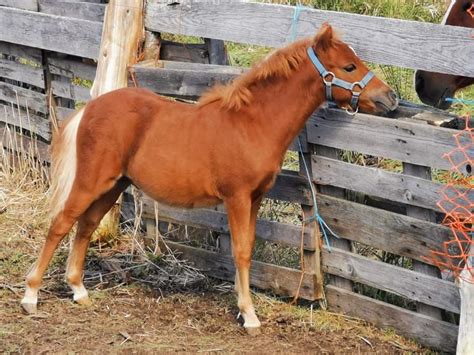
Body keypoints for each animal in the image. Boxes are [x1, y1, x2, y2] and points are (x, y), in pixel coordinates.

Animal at [21, 23, 396, 336]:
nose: (390, 98)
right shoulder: (237, 197)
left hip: (113, 186)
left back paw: (78, 290)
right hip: (91, 182)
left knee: (85, 227)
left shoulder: (255, 198)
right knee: (60, 224)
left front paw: (245, 310)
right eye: (349, 67)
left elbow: (247, 249)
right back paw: (31, 295)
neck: (252, 124)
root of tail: (89, 109)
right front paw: (250, 316)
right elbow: (241, 252)